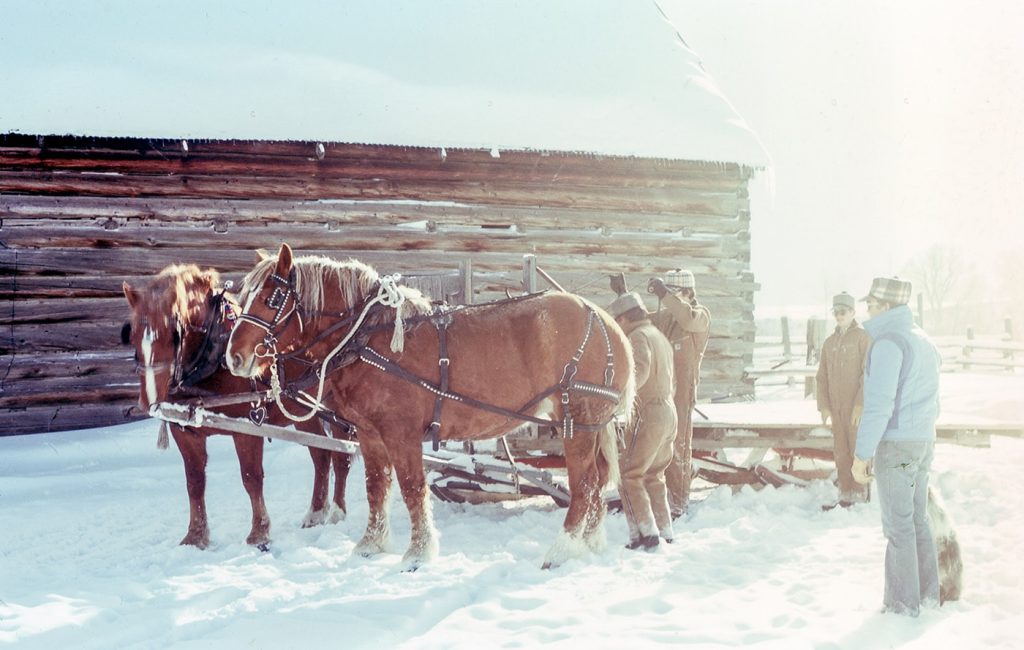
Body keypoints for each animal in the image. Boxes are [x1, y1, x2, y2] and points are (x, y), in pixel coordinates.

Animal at [122, 264, 354, 548]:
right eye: (131, 335)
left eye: (174, 334)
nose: (149, 400)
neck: (212, 358)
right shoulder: (184, 432)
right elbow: (195, 482)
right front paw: (196, 536)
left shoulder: (248, 427)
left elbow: (251, 478)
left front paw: (259, 533)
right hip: (303, 412)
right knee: (321, 456)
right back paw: (315, 514)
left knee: (342, 458)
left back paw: (337, 513)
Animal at [228, 243, 634, 569]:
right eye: (241, 298)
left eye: (272, 299)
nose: (235, 357)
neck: (368, 337)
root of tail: (604, 320)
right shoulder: (370, 433)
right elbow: (377, 487)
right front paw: (370, 545)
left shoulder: (401, 432)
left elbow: (412, 488)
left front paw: (418, 554)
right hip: (590, 425)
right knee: (597, 482)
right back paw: (589, 543)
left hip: (576, 420)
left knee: (583, 485)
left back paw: (562, 550)